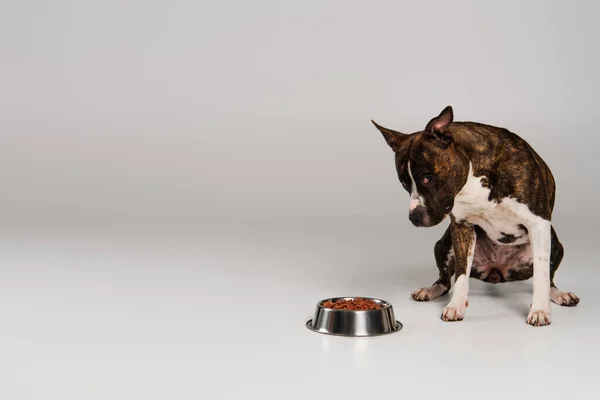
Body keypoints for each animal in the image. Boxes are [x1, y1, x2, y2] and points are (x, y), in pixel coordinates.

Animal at [372, 105, 580, 324]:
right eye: (404, 183)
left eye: (427, 178)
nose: (414, 217)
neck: (474, 174)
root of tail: (497, 271)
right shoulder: (461, 226)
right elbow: (461, 275)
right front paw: (456, 305)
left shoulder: (538, 223)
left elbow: (541, 274)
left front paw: (539, 310)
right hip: (443, 244)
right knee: (445, 280)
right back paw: (430, 290)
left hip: (555, 244)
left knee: (550, 278)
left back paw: (558, 294)